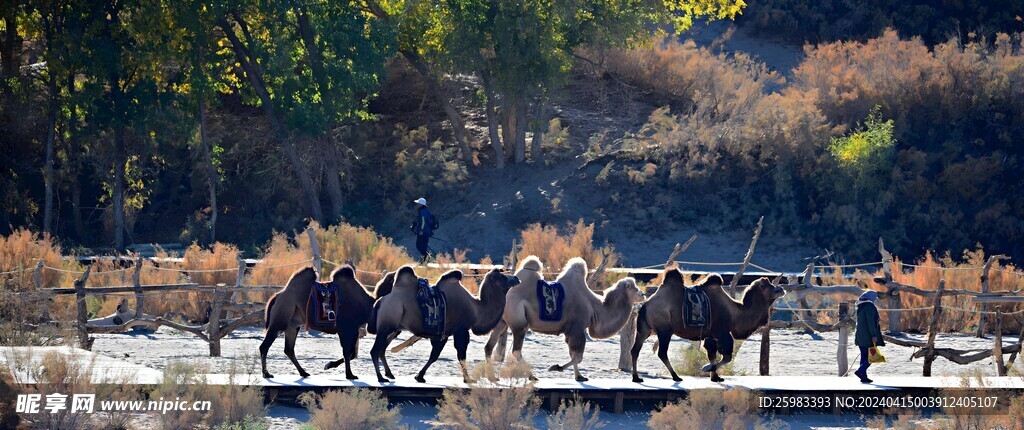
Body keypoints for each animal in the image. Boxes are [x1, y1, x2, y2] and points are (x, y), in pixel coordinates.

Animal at [368, 266, 520, 382]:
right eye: (503, 277)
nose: (516, 278)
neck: (477, 309)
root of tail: (381, 300)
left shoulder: (443, 334)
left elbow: (434, 356)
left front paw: (419, 376)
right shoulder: (461, 329)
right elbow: (461, 355)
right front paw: (468, 379)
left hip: (394, 329)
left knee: (382, 349)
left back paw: (389, 374)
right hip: (386, 325)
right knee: (375, 350)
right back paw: (381, 378)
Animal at [501, 256, 638, 380]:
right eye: (634, 288)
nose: (642, 294)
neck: (594, 307)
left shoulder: (571, 331)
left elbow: (573, 355)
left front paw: (579, 376)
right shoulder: (576, 329)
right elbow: (578, 357)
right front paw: (556, 367)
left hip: (502, 321)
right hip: (519, 322)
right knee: (516, 350)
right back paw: (531, 376)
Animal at [626, 268, 786, 382]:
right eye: (769, 286)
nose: (781, 288)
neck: (735, 313)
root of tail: (646, 304)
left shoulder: (711, 335)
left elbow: (712, 354)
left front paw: (715, 377)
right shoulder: (722, 332)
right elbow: (726, 356)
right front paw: (706, 368)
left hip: (644, 329)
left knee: (635, 350)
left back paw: (636, 377)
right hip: (664, 330)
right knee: (662, 352)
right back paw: (676, 376)